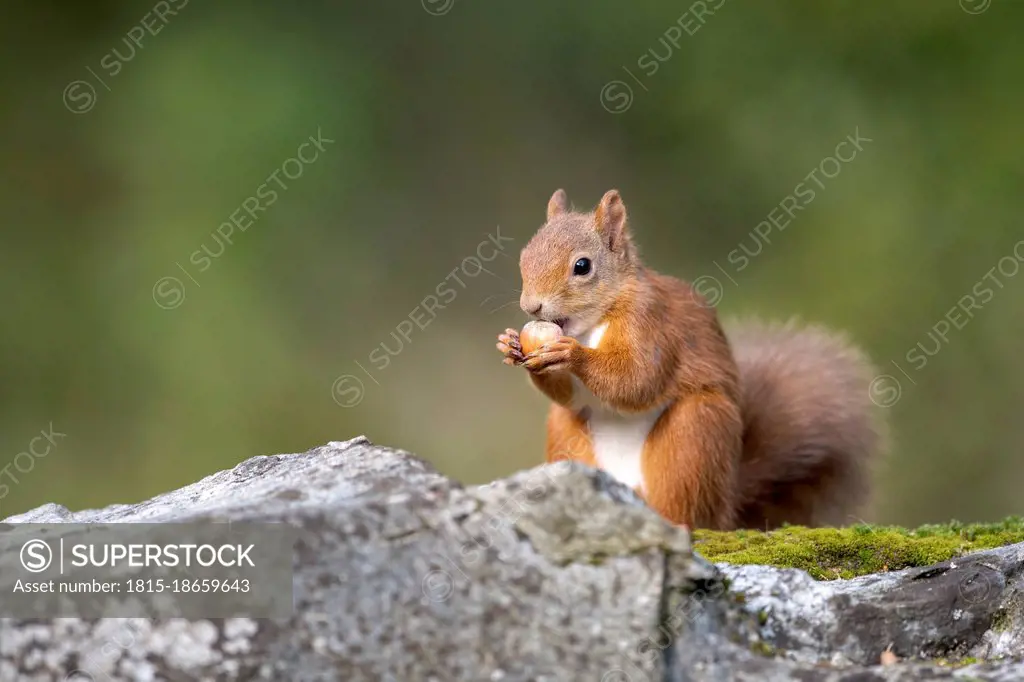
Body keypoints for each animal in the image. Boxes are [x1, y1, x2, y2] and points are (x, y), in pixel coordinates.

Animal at [493, 188, 880, 528]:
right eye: (525, 256)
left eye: (582, 266)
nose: (531, 306)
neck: (594, 323)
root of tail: (727, 506)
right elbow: (569, 395)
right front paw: (511, 344)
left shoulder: (653, 325)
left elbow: (637, 380)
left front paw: (570, 354)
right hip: (565, 435)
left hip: (694, 433)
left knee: (685, 508)